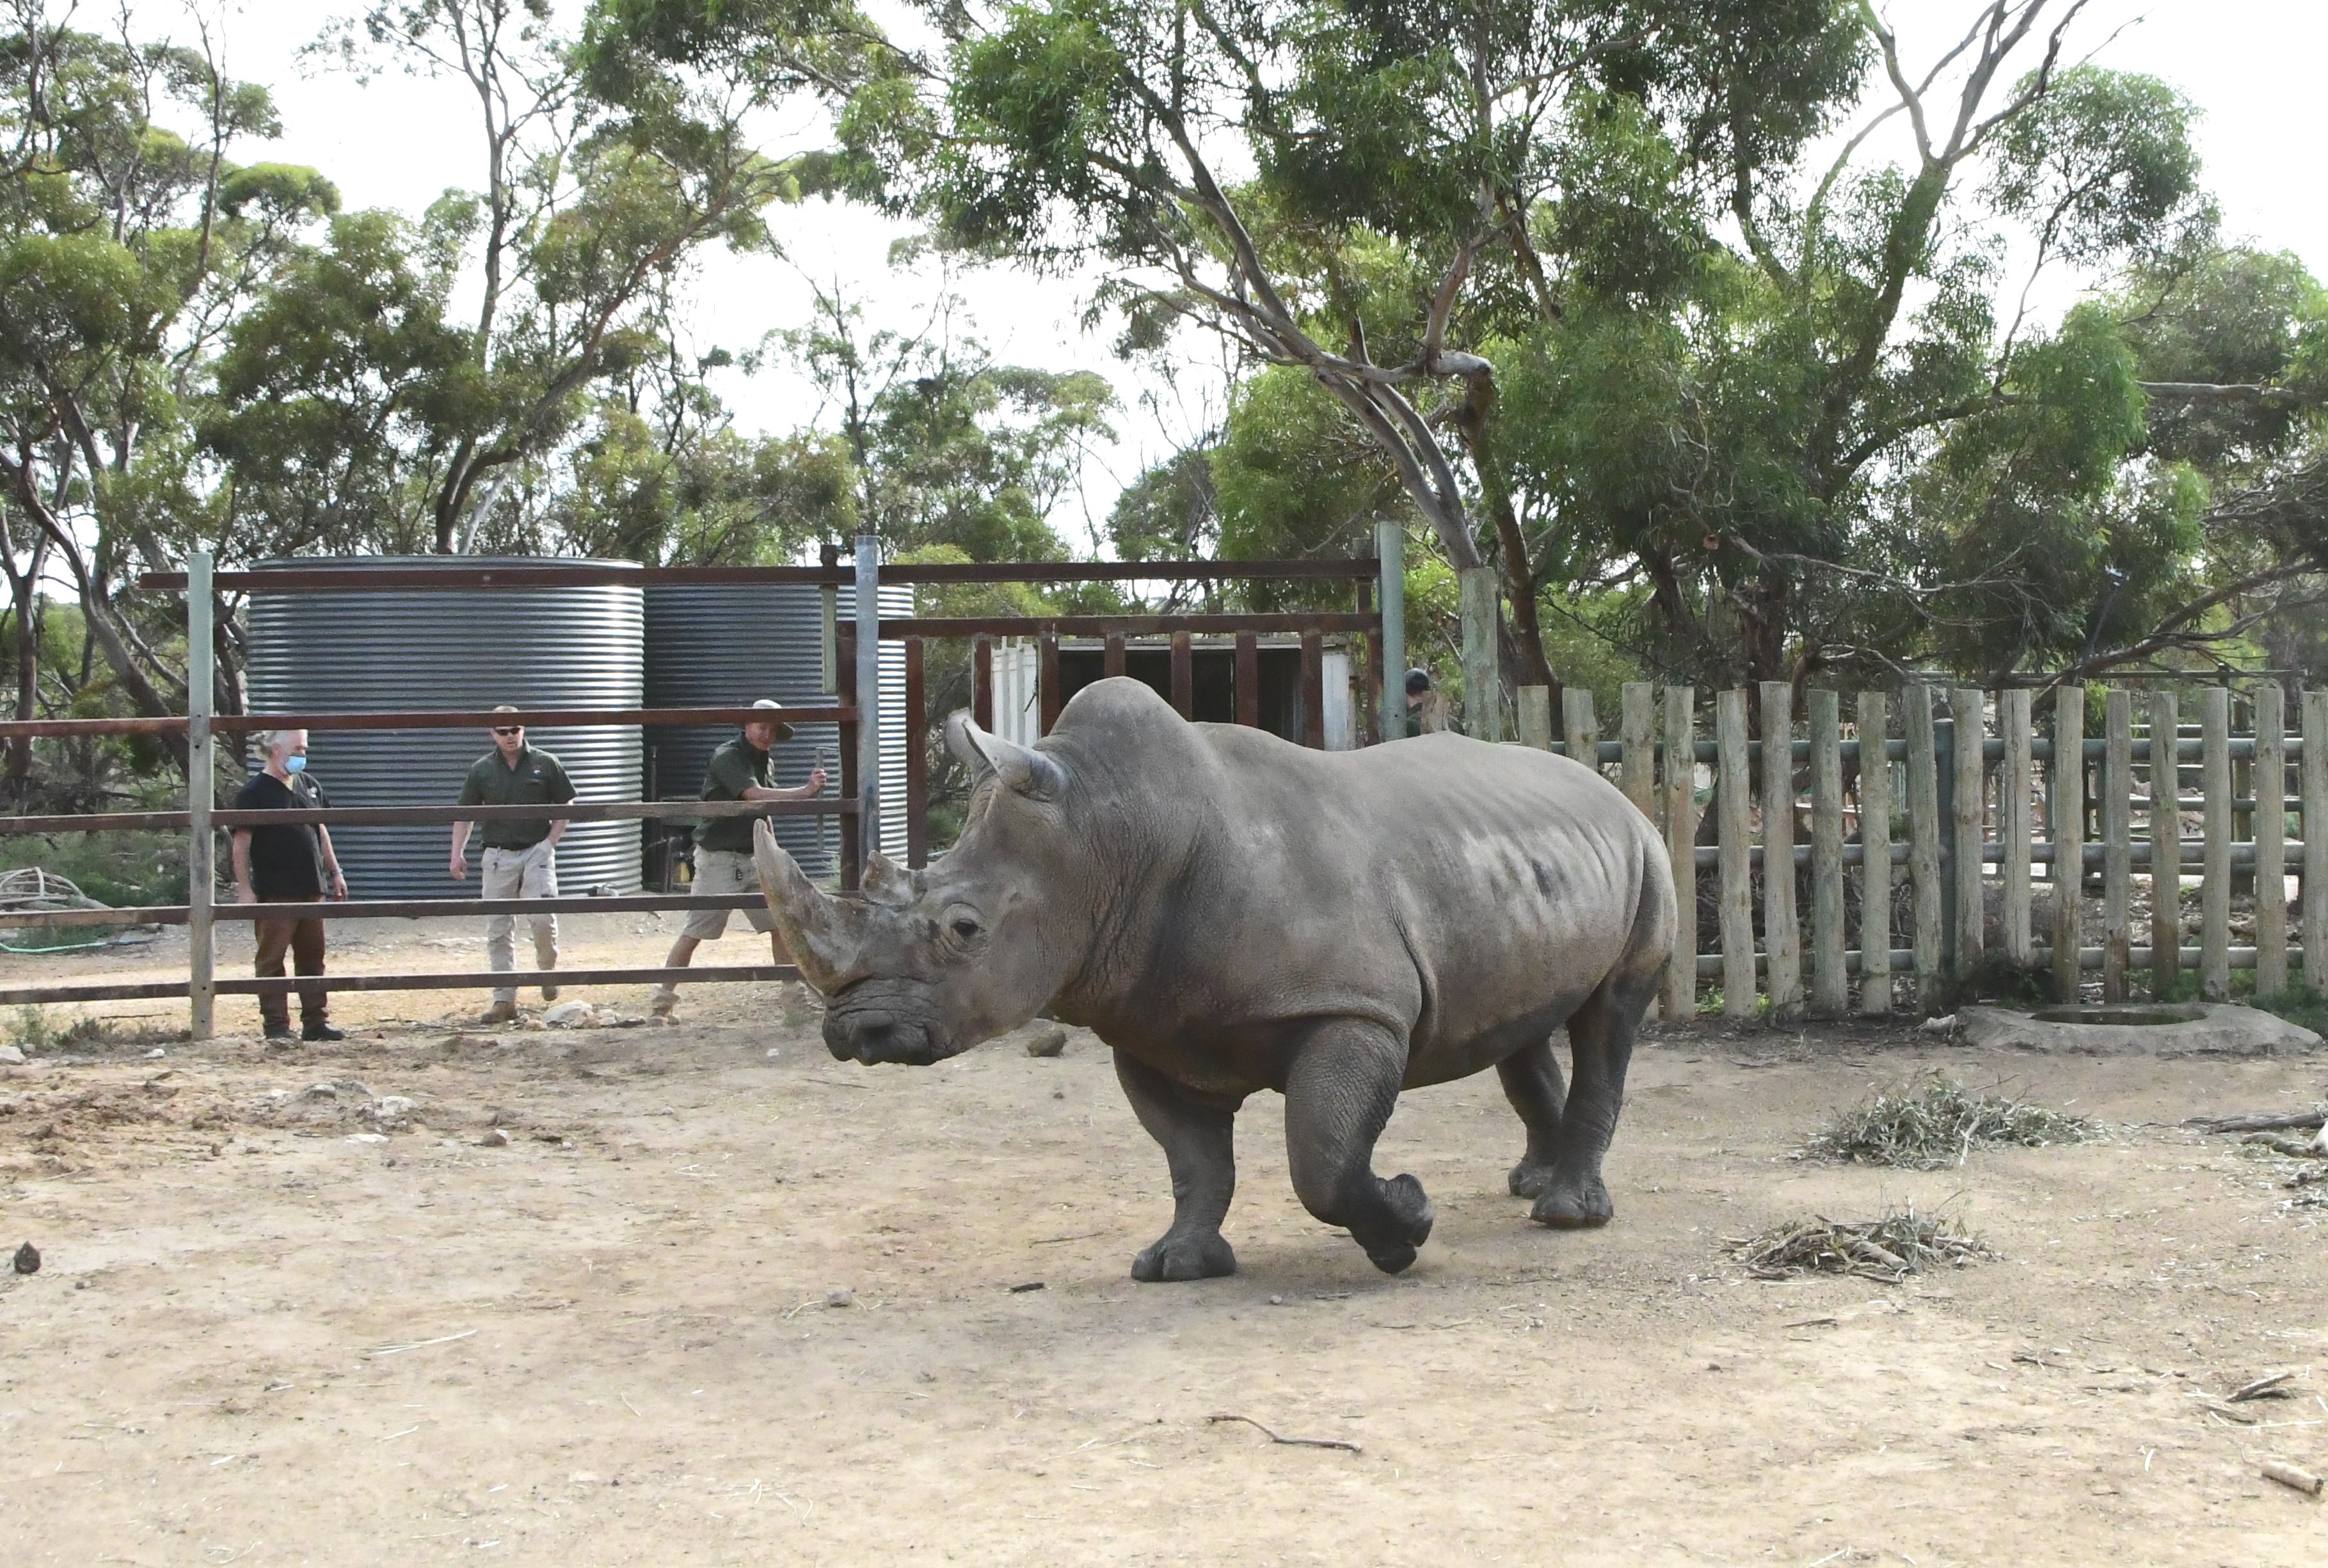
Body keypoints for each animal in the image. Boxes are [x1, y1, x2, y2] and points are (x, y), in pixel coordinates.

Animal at [751, 676, 1675, 1279]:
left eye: (963, 929)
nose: (854, 1031)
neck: (1109, 834)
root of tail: (1603, 784)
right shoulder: (1148, 1025)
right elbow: (1192, 1161)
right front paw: (1177, 1263)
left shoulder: (1354, 1008)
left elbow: (1321, 1155)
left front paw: (1404, 1228)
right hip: (1519, 861)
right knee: (1523, 1026)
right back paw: (1533, 1182)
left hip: (1644, 847)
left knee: (1609, 1016)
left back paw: (1565, 1214)